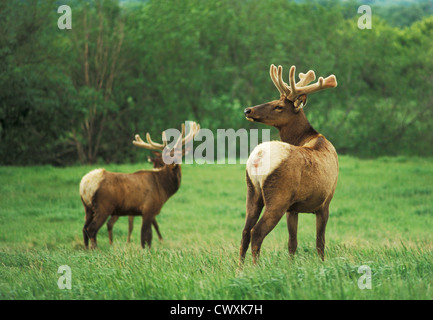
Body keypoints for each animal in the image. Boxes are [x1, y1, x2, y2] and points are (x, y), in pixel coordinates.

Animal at [80, 121, 200, 249]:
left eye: (178, 154)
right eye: (166, 155)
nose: (173, 164)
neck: (163, 187)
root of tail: (85, 185)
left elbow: (147, 236)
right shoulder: (148, 208)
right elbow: (145, 237)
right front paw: (146, 251)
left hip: (88, 208)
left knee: (84, 228)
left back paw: (87, 249)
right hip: (103, 206)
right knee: (92, 229)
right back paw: (95, 249)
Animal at [240, 63, 338, 264]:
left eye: (278, 105)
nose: (248, 110)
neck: (310, 137)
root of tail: (259, 157)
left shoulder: (293, 209)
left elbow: (292, 243)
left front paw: (292, 265)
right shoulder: (325, 201)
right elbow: (320, 242)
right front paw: (322, 264)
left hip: (252, 190)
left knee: (245, 231)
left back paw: (240, 268)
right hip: (279, 195)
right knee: (256, 232)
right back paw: (255, 267)